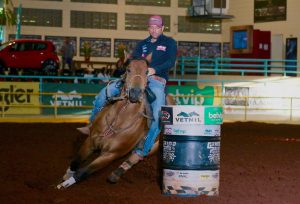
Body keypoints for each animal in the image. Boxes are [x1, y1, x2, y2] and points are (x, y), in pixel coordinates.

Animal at [56, 56, 155, 189]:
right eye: (128, 69)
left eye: (146, 72)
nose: (135, 92)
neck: (117, 122)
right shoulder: (90, 141)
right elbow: (77, 160)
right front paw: (68, 174)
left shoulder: (110, 155)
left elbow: (84, 172)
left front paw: (66, 184)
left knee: (134, 158)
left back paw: (116, 174)